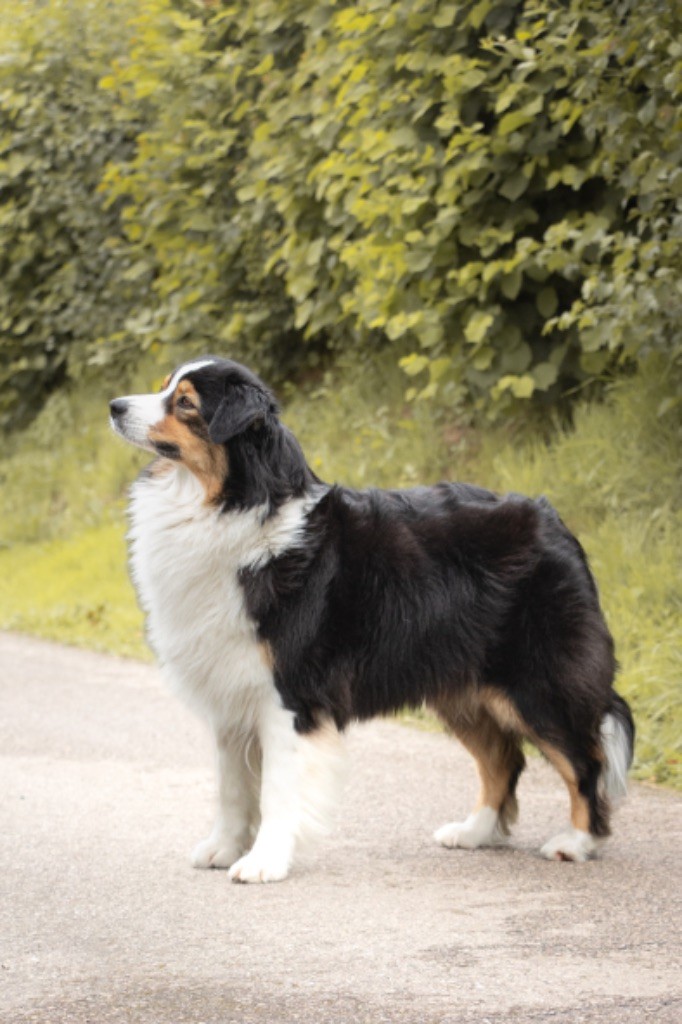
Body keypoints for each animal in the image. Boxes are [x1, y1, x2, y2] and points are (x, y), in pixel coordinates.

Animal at [109, 358, 634, 880]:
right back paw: (474, 832)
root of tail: (554, 520)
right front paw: (223, 848)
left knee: (585, 761)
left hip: (538, 683)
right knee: (503, 760)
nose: (114, 406)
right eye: (164, 387)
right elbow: (232, 786)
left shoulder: (289, 693)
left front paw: (263, 861)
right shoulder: (229, 690)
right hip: (462, 686)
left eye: (185, 403)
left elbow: (278, 789)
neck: (231, 504)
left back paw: (576, 842)